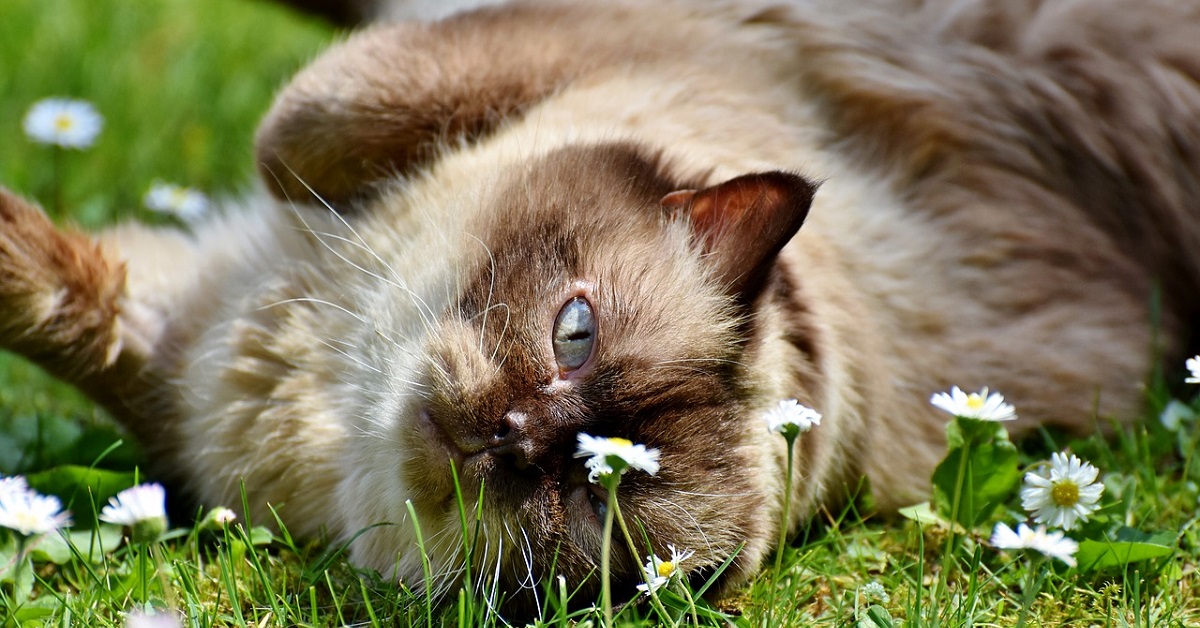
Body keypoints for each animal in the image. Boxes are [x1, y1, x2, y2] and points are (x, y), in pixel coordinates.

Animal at [2, 0, 1200, 614]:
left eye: (586, 496)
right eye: (573, 332)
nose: (507, 433)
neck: (327, 381)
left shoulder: (184, 359)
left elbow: (67, 289)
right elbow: (305, 124)